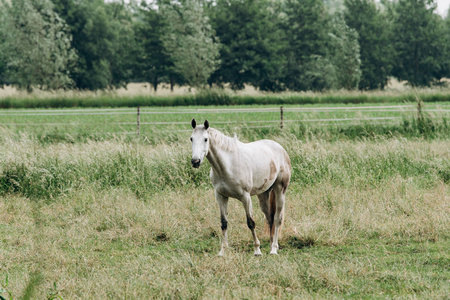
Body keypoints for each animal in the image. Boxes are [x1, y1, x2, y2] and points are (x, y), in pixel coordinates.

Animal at [188, 119, 290, 255]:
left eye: (205, 139)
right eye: (191, 138)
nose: (195, 161)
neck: (227, 165)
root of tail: (280, 148)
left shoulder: (245, 197)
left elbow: (250, 222)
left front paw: (257, 250)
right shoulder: (221, 196)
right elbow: (224, 223)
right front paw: (222, 251)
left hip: (280, 190)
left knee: (278, 218)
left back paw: (273, 249)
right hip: (263, 195)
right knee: (270, 219)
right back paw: (270, 245)